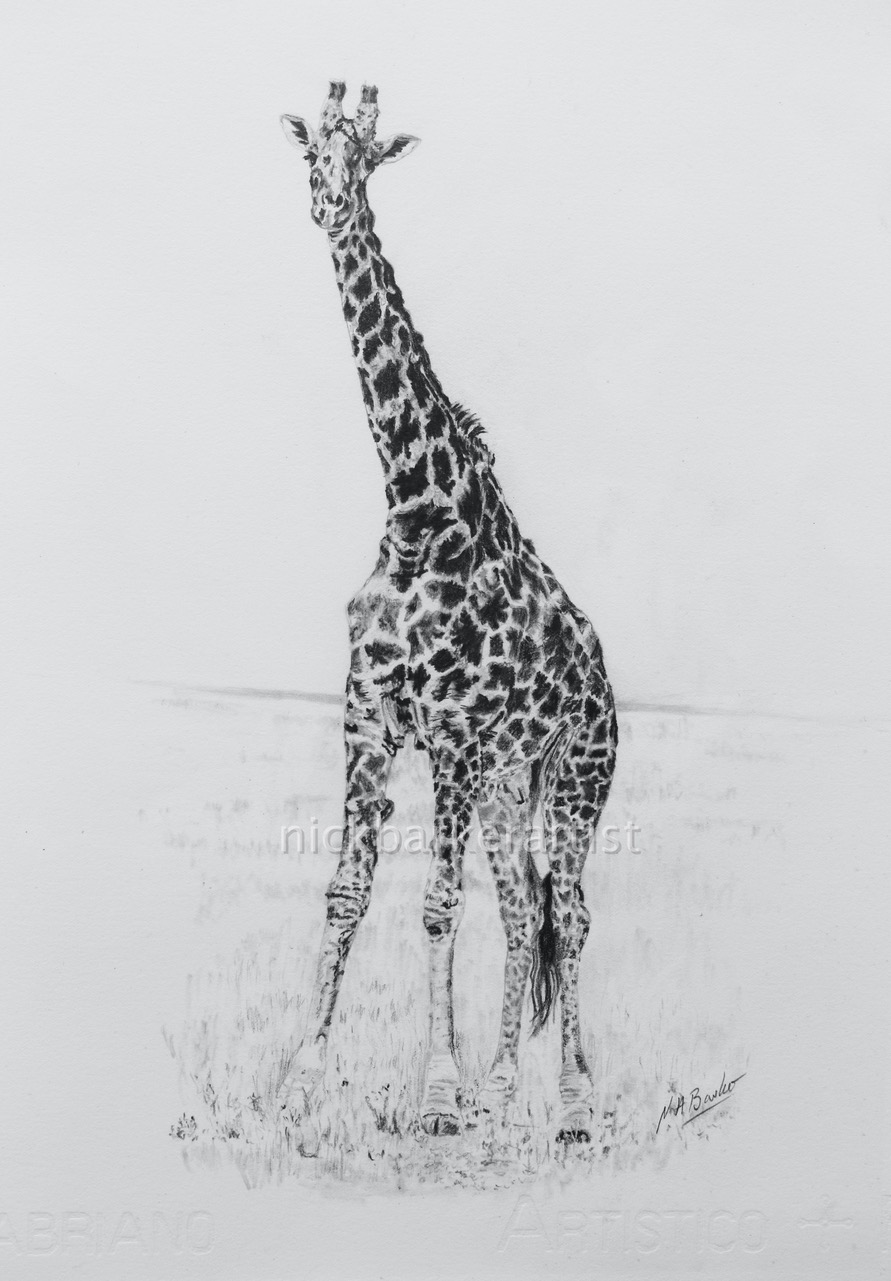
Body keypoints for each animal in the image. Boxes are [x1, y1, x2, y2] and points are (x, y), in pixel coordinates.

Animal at [279, 82, 618, 1142]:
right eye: (311, 150)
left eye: (368, 155)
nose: (328, 204)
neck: (416, 512)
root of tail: (604, 676)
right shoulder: (368, 717)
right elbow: (347, 892)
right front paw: (300, 1084)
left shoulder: (455, 736)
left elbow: (434, 906)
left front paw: (433, 1093)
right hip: (514, 785)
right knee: (523, 912)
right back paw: (504, 1090)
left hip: (577, 773)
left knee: (571, 913)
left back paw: (574, 1103)